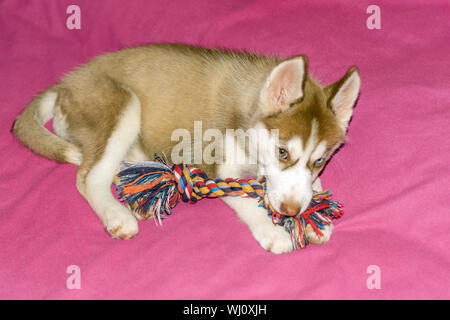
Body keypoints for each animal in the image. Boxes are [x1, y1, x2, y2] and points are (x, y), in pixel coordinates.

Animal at [12, 44, 360, 252]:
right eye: (282, 152)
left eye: (319, 160)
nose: (290, 211)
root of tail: (67, 83)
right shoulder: (215, 166)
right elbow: (241, 196)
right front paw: (272, 230)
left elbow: (308, 184)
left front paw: (316, 211)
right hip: (123, 104)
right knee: (87, 177)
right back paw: (116, 215)